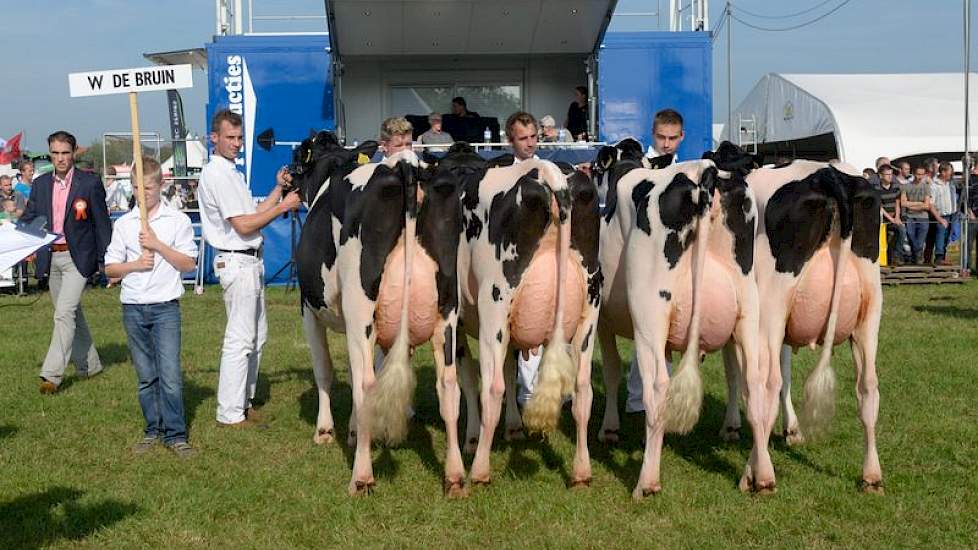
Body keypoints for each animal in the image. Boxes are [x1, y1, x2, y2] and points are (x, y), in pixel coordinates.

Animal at [292, 135, 468, 500]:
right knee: (447, 385)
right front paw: (356, 431)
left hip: (361, 309)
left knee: (366, 385)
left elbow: (325, 371)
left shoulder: (309, 309)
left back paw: (361, 477)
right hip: (447, 308)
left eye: (300, 158)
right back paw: (455, 477)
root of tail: (407, 165)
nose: (287, 177)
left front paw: (327, 430)